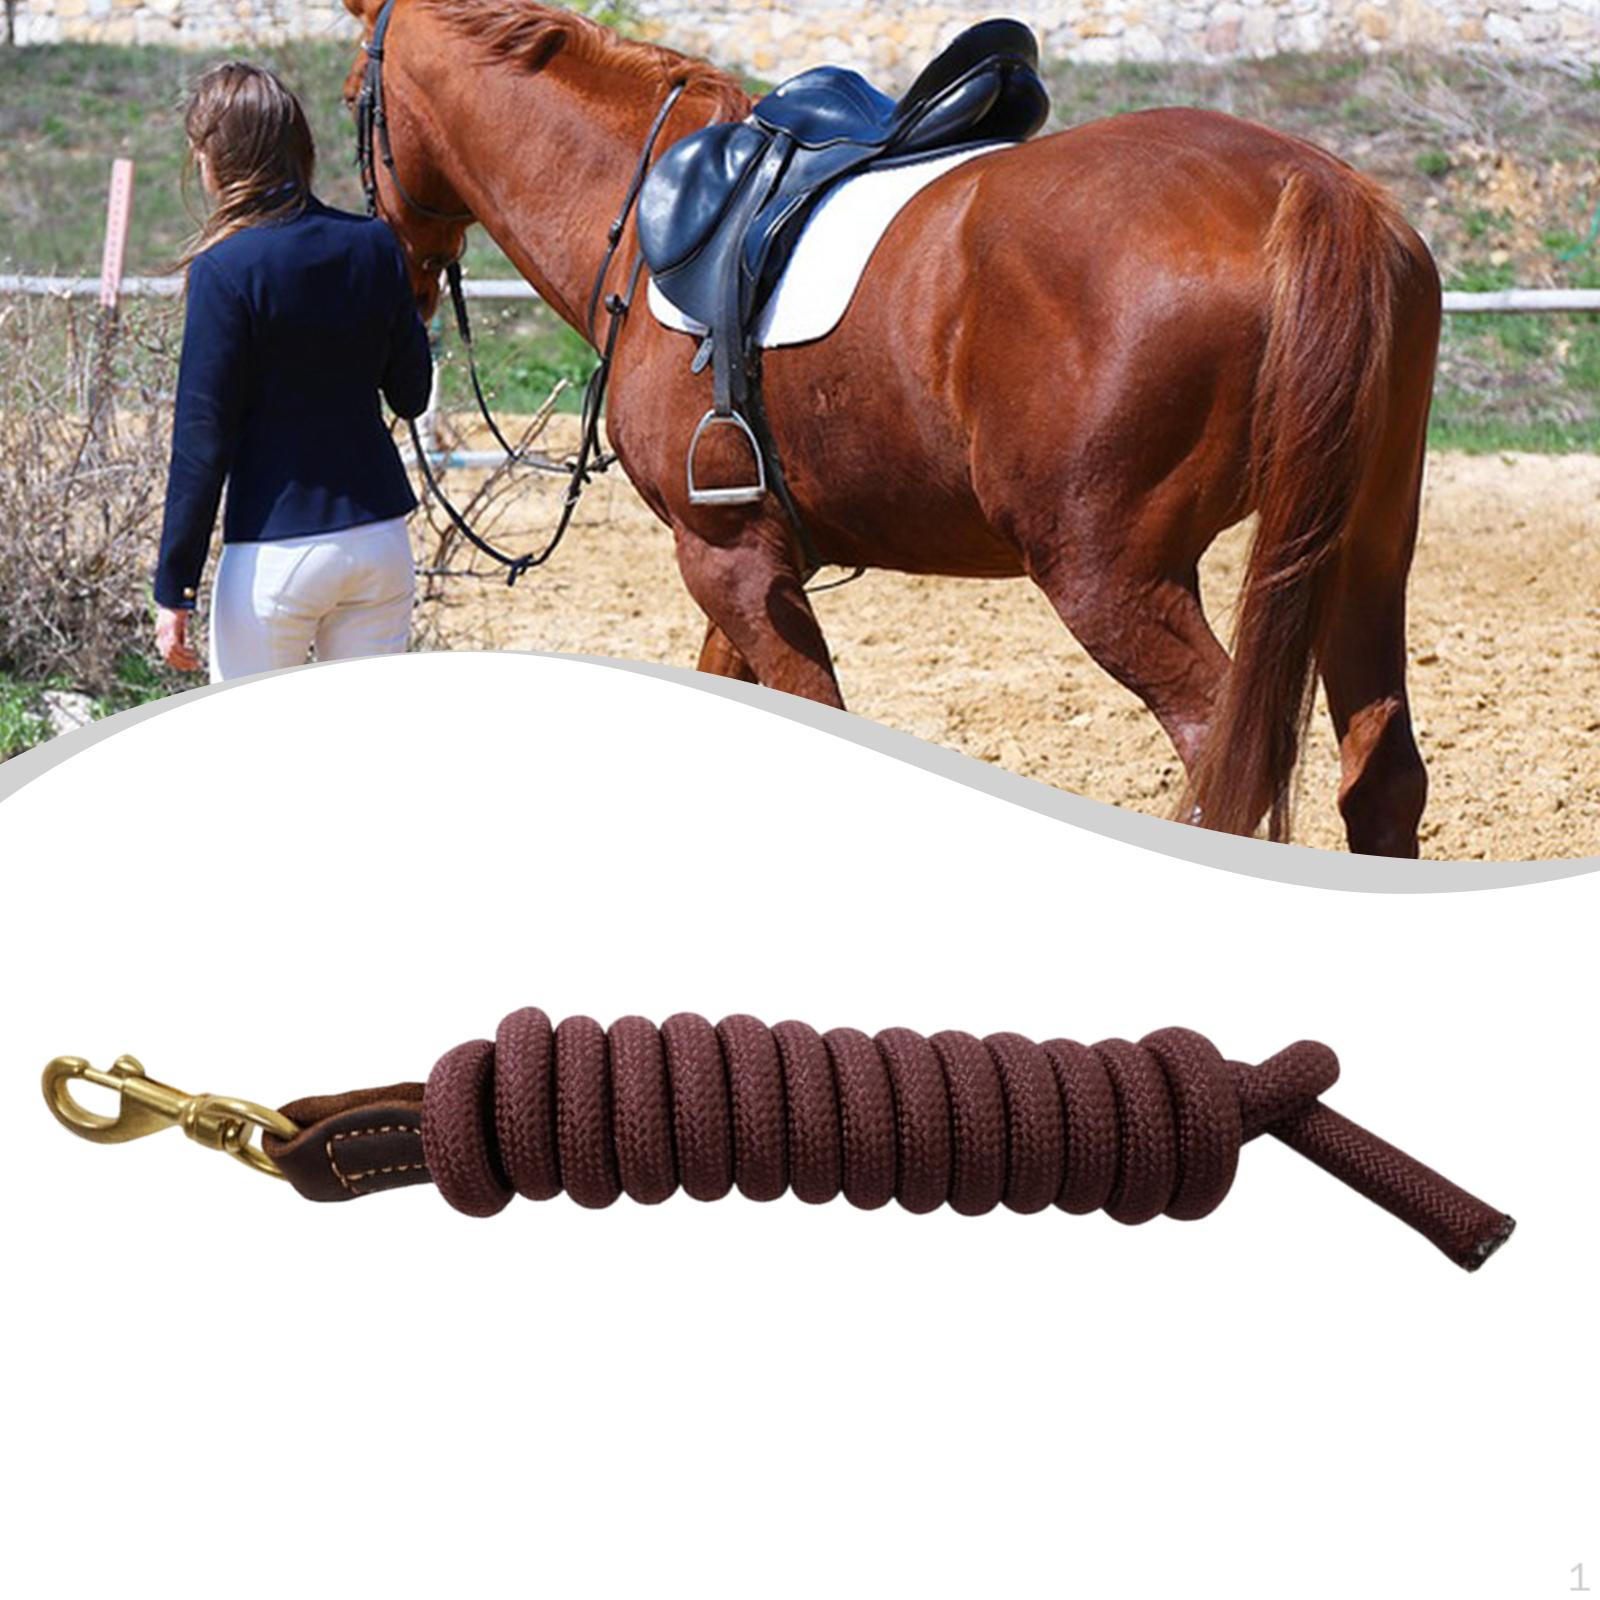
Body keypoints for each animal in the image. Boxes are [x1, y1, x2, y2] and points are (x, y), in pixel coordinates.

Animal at [341, 0, 1441, 856]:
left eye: (355, 96)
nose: (396, 278)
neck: (646, 212)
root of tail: (1309, 185)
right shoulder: (745, 557)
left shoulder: (724, 557)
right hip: (1353, 555)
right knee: (1379, 777)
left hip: (1111, 578)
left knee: (1226, 761)